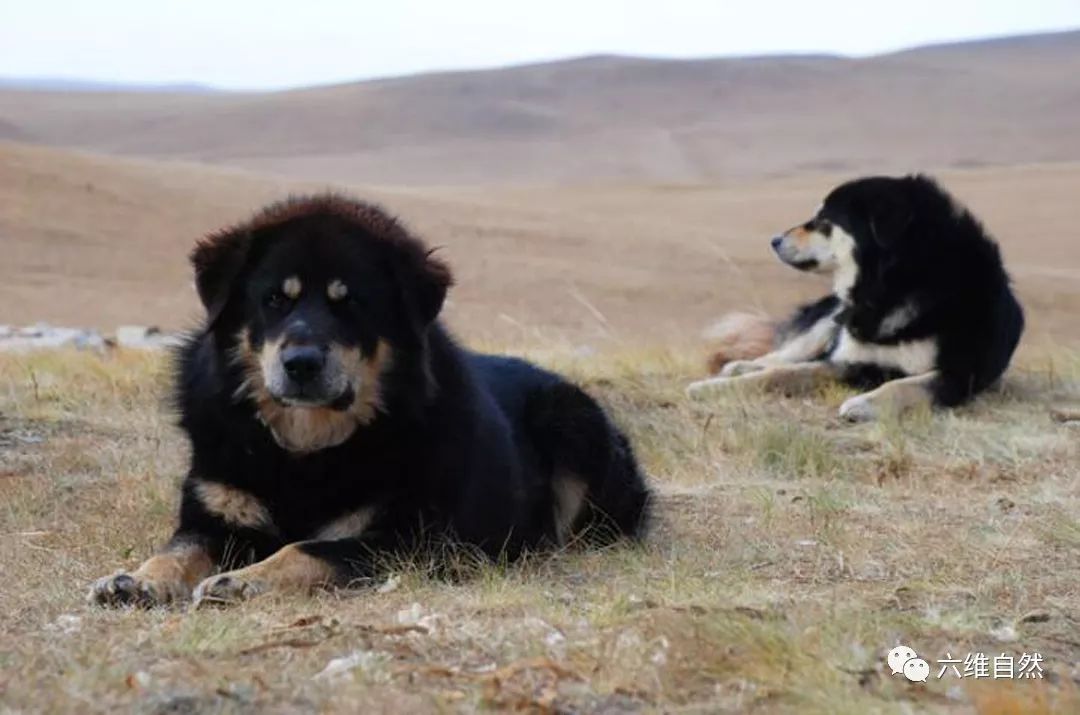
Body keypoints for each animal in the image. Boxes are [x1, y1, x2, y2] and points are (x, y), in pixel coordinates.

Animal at [88, 193, 648, 609]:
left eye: (351, 302)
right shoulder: (214, 517)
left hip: (570, 422)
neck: (304, 451)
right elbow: (176, 551)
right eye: (275, 299)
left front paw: (246, 580)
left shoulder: (406, 538)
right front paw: (136, 578)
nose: (302, 363)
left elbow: (305, 548)